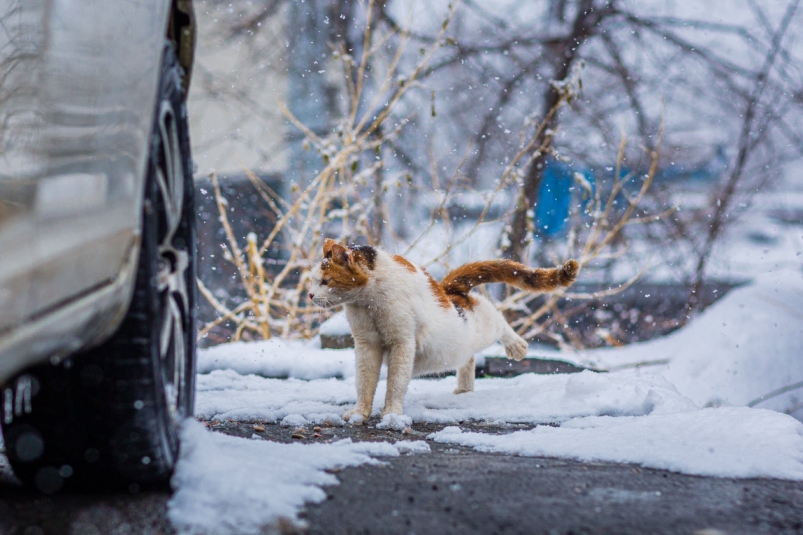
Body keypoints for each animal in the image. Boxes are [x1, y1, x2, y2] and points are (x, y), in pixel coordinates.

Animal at [308, 241, 576, 426]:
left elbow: (395, 384)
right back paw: (464, 390)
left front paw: (392, 415)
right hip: (459, 345)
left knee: (497, 317)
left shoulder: (402, 343)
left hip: (481, 325)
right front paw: (359, 414)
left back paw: (517, 347)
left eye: (326, 281)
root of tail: (448, 290)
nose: (309, 295)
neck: (366, 303)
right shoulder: (366, 345)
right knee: (468, 357)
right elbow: (364, 383)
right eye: (312, 280)